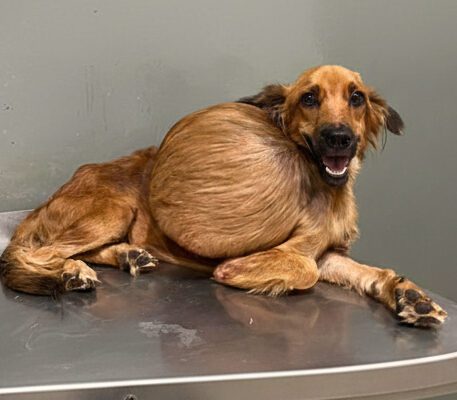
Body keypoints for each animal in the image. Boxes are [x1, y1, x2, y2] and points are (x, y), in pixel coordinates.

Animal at [1, 65, 447, 327]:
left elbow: (369, 272)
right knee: (39, 253)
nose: (339, 137)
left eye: (357, 98)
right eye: (309, 98)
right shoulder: (295, 255)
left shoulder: (330, 253)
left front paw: (408, 295)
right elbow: (305, 271)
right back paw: (69, 272)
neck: (326, 187)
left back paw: (127, 256)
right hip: (112, 210)